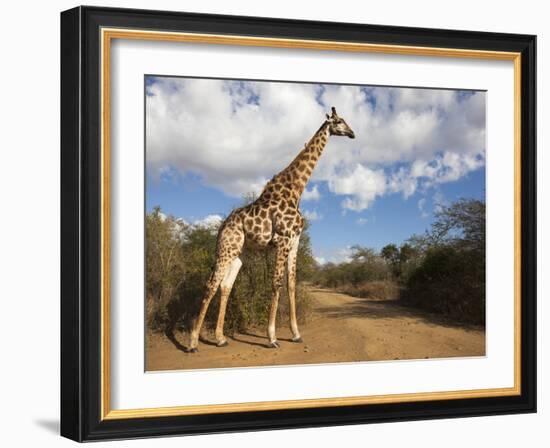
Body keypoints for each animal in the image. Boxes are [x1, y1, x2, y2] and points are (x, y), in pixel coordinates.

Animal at [188, 107, 356, 352]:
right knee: (211, 284)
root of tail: (222, 227)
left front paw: (296, 334)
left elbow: (291, 284)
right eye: (340, 121)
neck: (295, 190)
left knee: (225, 285)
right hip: (227, 248)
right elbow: (276, 283)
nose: (353, 133)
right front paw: (272, 337)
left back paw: (220, 338)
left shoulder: (295, 241)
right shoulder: (283, 239)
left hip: (240, 253)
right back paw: (192, 342)